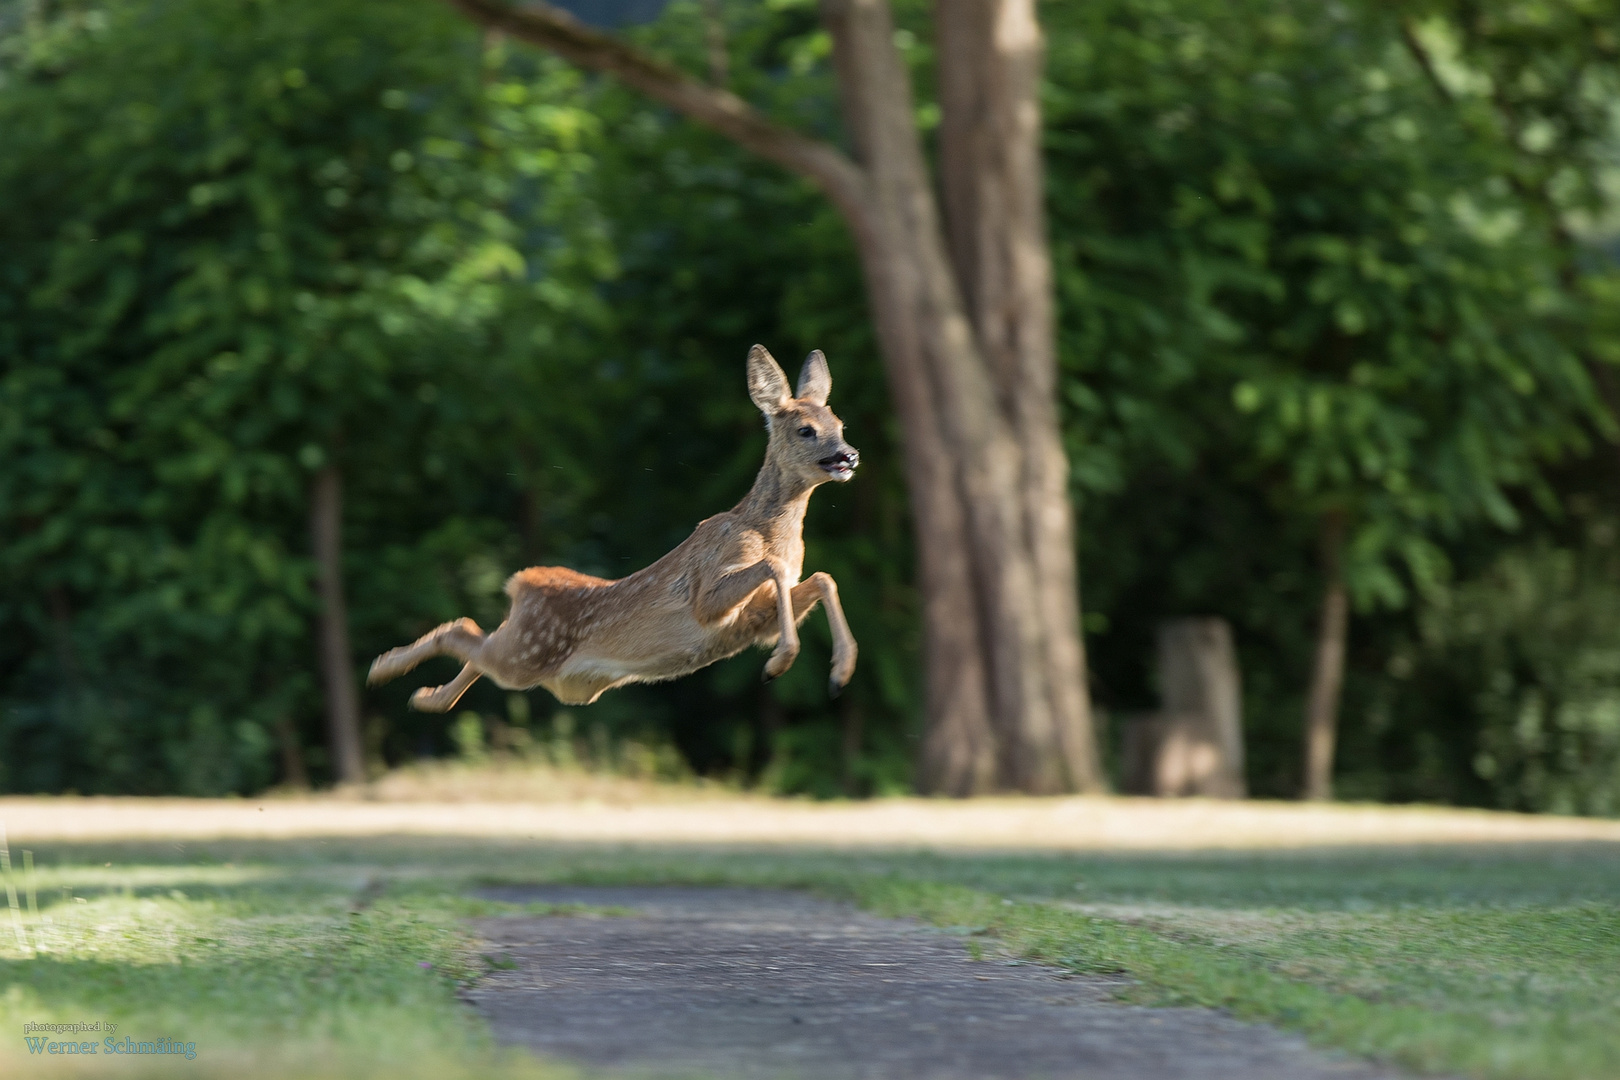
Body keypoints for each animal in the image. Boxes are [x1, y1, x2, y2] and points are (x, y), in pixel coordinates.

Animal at [366, 346, 861, 712]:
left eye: (840, 424)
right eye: (805, 430)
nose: (850, 455)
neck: (767, 531)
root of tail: (520, 584)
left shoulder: (756, 619)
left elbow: (822, 578)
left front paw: (840, 674)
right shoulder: (708, 590)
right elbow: (774, 569)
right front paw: (779, 665)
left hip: (543, 668)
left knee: (475, 641)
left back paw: (427, 697)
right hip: (526, 654)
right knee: (463, 631)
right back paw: (384, 669)